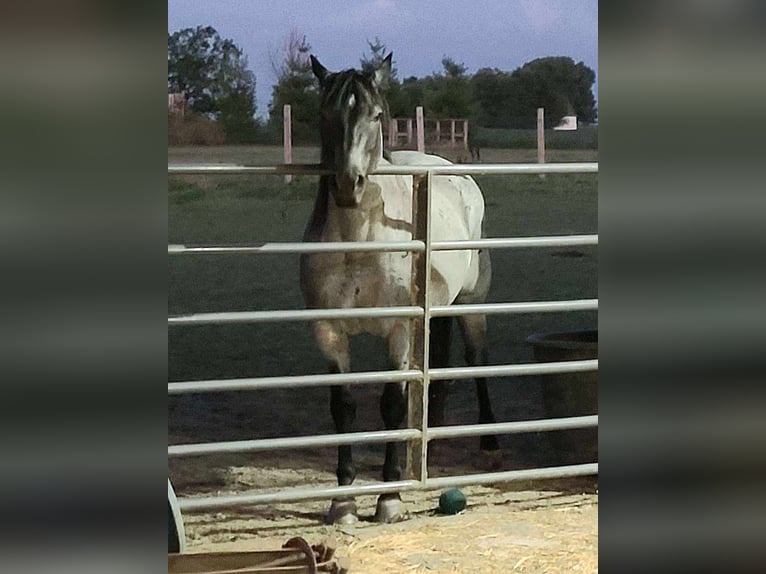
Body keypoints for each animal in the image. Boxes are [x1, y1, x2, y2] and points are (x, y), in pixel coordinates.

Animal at [300, 54, 504, 528]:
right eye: (324, 114)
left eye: (376, 115)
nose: (349, 184)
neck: (359, 241)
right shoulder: (328, 332)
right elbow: (344, 406)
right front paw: (343, 502)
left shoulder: (397, 330)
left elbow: (392, 404)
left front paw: (388, 499)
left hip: (470, 305)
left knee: (476, 360)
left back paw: (488, 443)